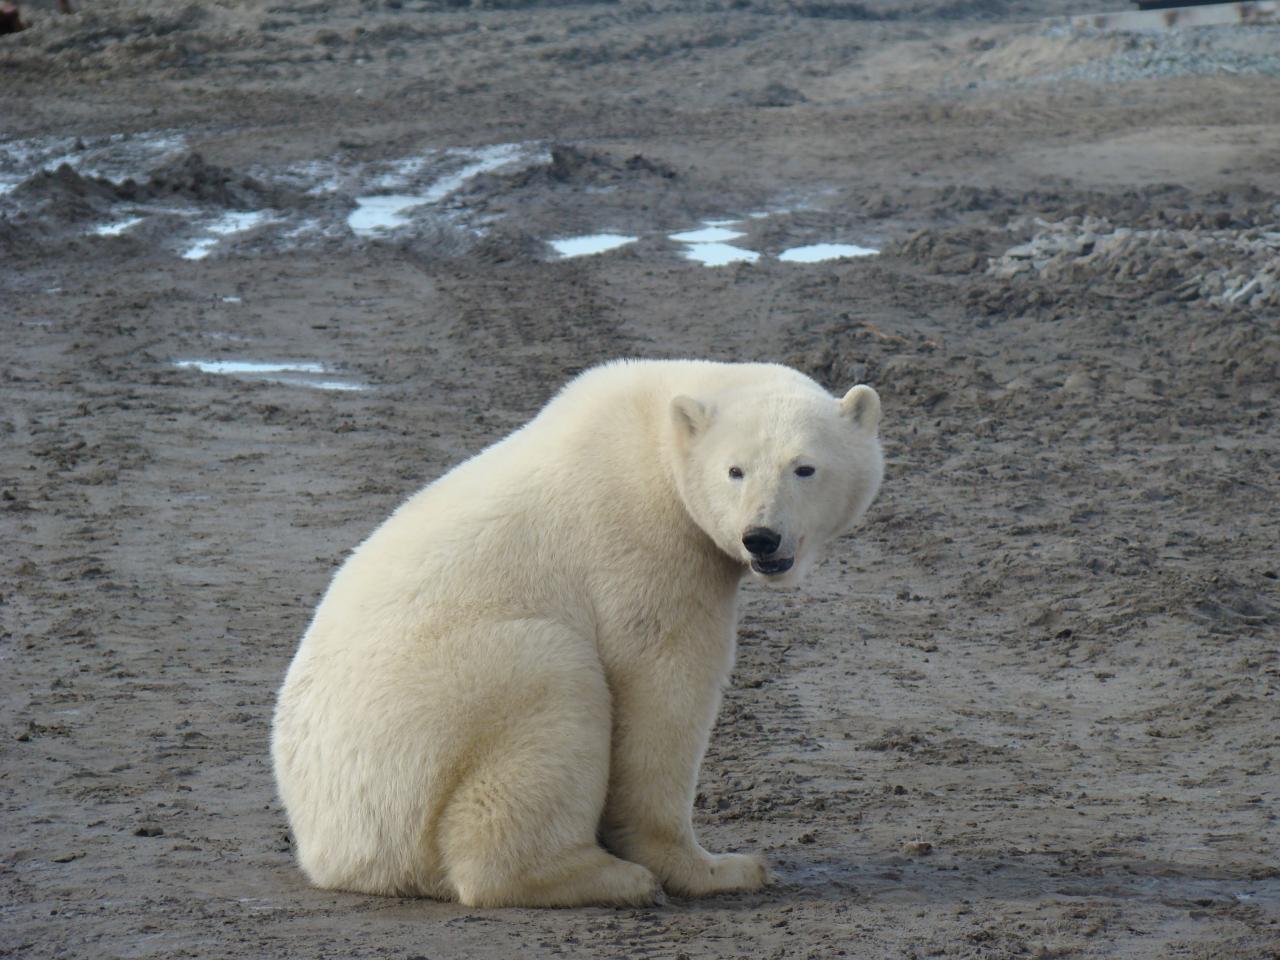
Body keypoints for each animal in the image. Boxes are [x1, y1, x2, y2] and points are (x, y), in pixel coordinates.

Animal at [270, 358, 880, 911]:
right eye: (735, 470)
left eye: (804, 468)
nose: (761, 536)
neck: (656, 434)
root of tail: (336, 852)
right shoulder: (643, 545)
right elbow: (662, 687)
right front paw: (720, 868)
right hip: (443, 710)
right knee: (553, 687)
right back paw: (606, 878)